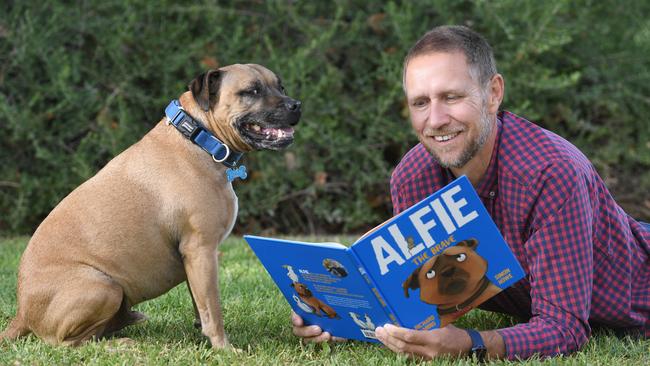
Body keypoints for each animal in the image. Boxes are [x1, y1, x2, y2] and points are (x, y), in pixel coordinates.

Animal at [0, 63, 298, 348]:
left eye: (281, 86)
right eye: (252, 91)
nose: (296, 104)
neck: (201, 138)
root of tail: (22, 313)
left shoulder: (193, 259)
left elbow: (200, 304)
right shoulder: (201, 249)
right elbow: (213, 308)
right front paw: (223, 348)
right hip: (103, 286)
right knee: (68, 343)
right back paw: (118, 343)